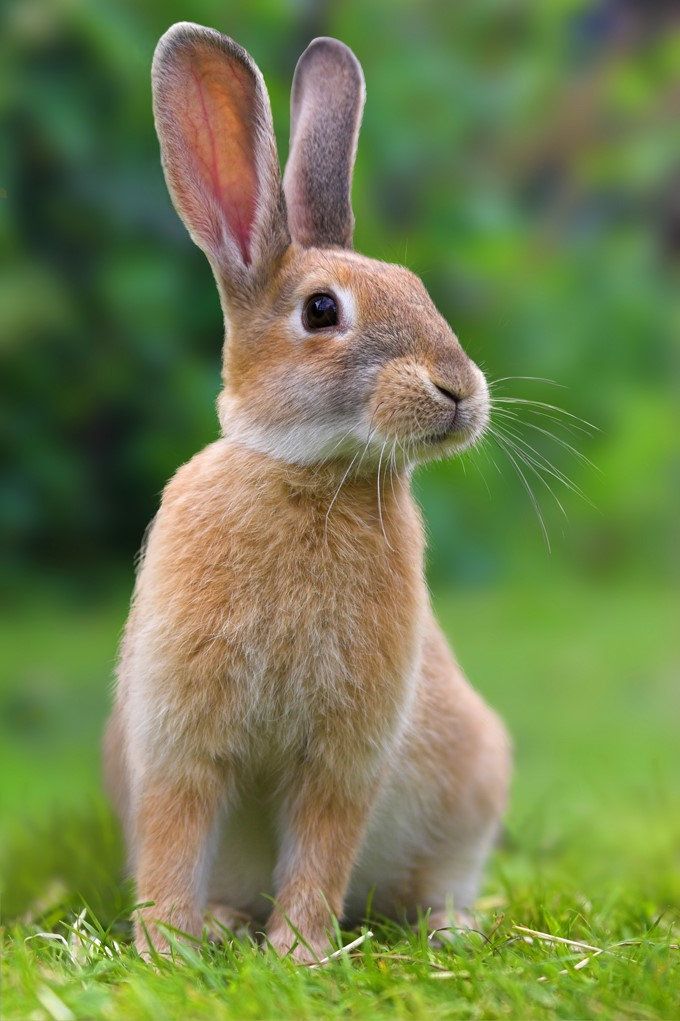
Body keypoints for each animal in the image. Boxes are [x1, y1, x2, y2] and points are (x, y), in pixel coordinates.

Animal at [103, 21, 511, 962]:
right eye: (322, 311)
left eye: (419, 289)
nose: (459, 391)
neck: (310, 473)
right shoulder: (178, 736)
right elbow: (175, 834)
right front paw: (167, 947)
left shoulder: (344, 751)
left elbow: (323, 845)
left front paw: (299, 952)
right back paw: (222, 923)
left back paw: (450, 927)